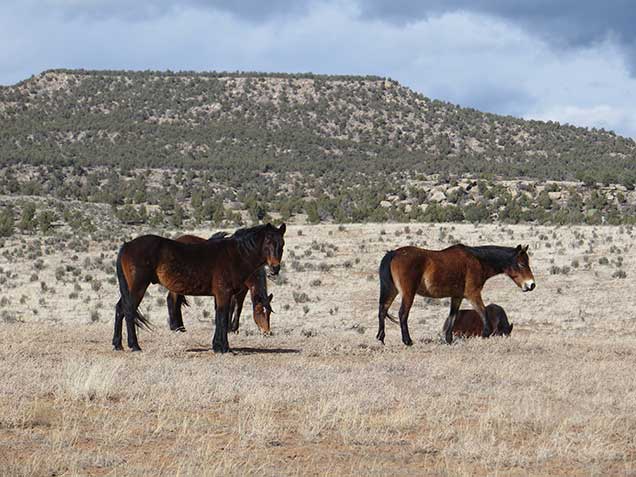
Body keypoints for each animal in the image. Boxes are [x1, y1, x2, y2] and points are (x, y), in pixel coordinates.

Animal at [112, 221, 286, 352]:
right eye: (268, 243)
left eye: (282, 244)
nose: (275, 268)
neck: (235, 255)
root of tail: (127, 245)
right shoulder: (225, 293)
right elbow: (223, 317)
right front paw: (223, 348)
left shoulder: (223, 295)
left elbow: (220, 317)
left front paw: (218, 346)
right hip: (138, 287)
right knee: (129, 310)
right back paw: (135, 346)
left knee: (120, 308)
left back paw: (117, 344)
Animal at [378, 244, 536, 344]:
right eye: (522, 264)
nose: (531, 285)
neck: (478, 261)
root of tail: (394, 253)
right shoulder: (473, 294)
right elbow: (483, 312)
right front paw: (485, 335)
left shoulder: (457, 296)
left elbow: (453, 316)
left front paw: (448, 340)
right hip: (408, 293)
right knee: (402, 314)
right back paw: (407, 341)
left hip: (392, 291)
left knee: (382, 310)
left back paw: (381, 338)